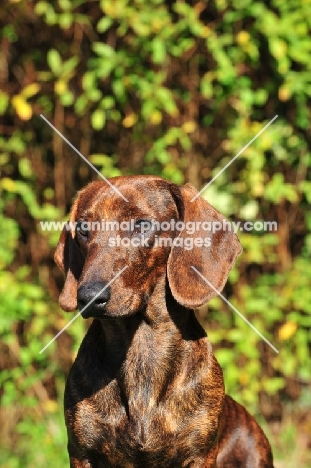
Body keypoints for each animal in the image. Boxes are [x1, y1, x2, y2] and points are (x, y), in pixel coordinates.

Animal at [54, 176, 274, 468]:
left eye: (141, 224)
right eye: (83, 228)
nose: (89, 297)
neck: (141, 351)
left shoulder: (199, 455)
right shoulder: (81, 453)